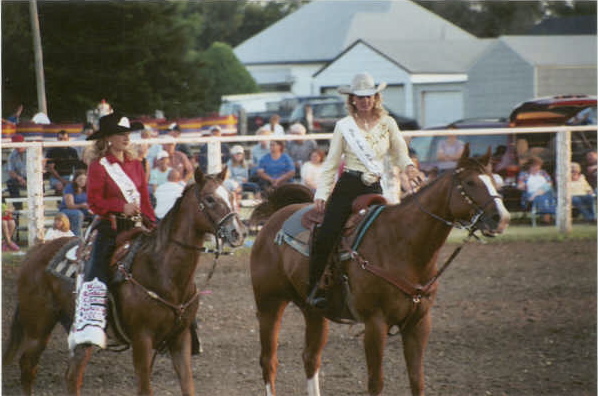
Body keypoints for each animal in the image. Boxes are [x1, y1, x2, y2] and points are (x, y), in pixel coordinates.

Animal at [2, 168, 246, 396]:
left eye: (229, 195)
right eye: (209, 199)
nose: (238, 233)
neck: (164, 272)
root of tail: (35, 253)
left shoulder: (180, 338)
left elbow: (188, 386)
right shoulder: (142, 340)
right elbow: (145, 388)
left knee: (72, 375)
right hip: (38, 326)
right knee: (28, 367)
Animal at [248, 146, 510, 396]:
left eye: (492, 180)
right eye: (470, 182)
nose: (502, 218)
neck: (401, 245)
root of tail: (275, 218)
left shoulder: (419, 323)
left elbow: (417, 381)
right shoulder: (375, 323)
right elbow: (376, 383)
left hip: (313, 310)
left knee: (311, 358)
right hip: (269, 303)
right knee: (268, 361)